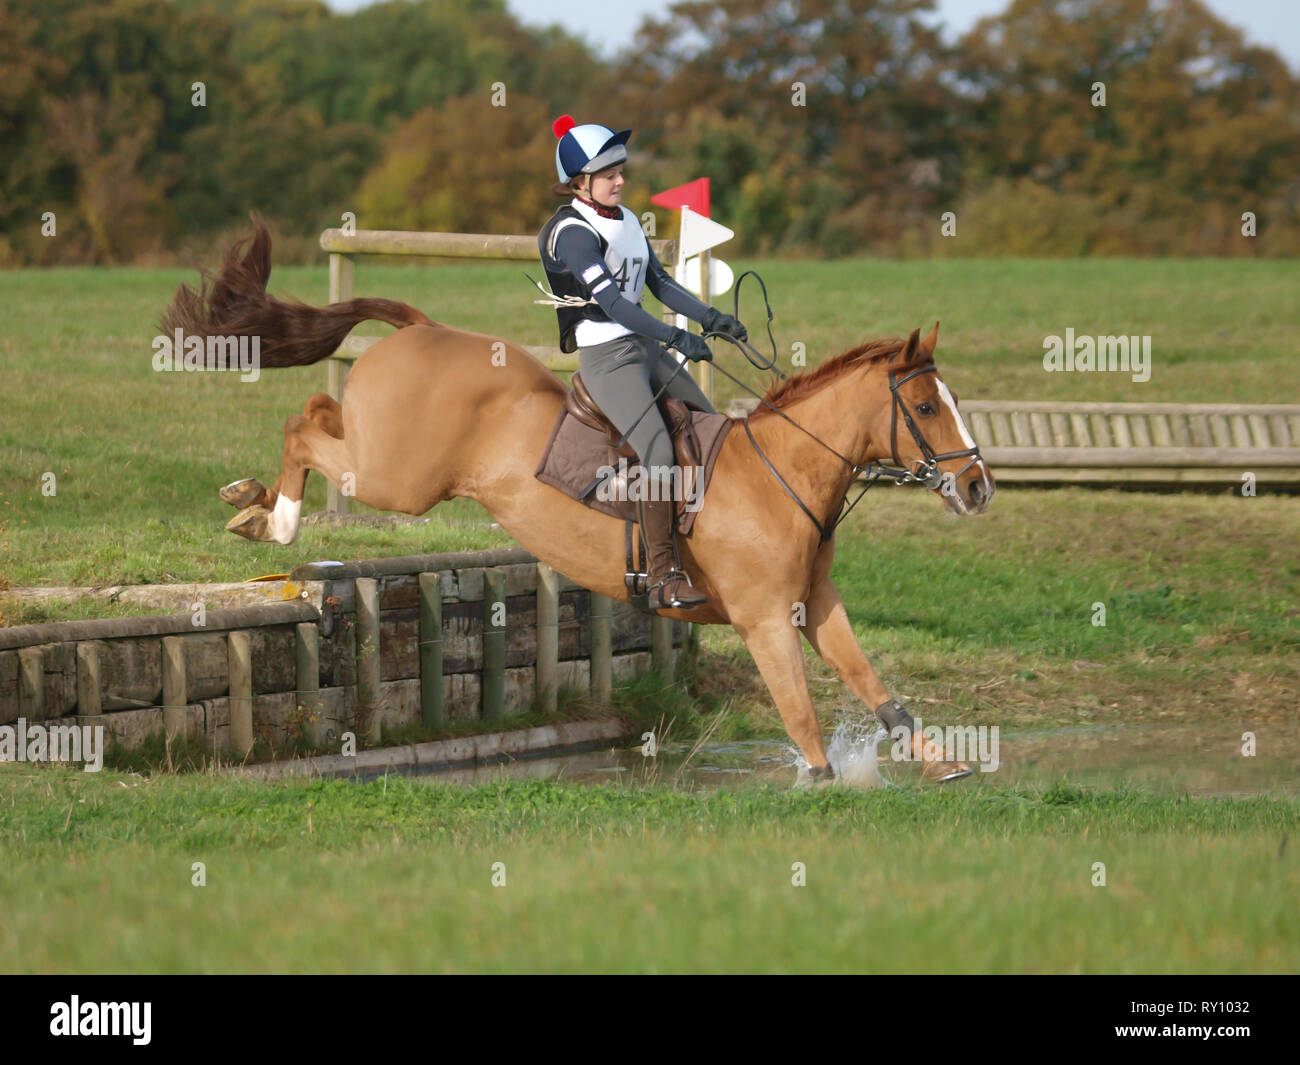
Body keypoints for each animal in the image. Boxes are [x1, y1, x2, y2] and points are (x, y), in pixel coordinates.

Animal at [162, 218, 993, 785]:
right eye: (925, 406)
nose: (978, 485)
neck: (780, 471)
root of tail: (424, 327)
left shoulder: (814, 605)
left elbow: (874, 683)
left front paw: (940, 761)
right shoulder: (763, 618)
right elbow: (798, 706)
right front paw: (820, 782)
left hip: (393, 464)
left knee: (314, 413)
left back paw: (257, 503)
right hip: (398, 477)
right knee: (303, 421)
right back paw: (268, 514)